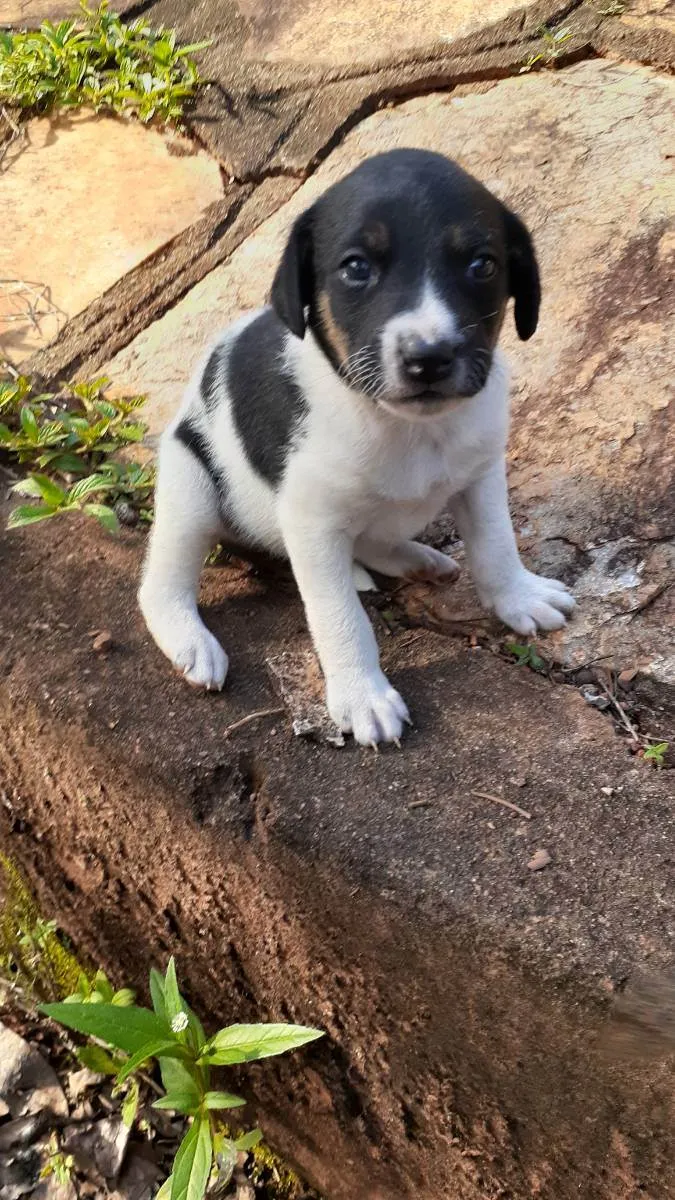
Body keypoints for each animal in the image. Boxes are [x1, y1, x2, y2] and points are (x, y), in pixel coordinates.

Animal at [140, 147, 571, 739]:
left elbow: (497, 546)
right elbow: (339, 615)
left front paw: (518, 596)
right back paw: (191, 640)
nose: (429, 358)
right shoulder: (313, 524)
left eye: (483, 265)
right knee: (162, 584)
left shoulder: (481, 476)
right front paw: (362, 695)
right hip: (192, 490)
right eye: (356, 268)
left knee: (374, 540)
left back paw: (415, 558)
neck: (401, 426)